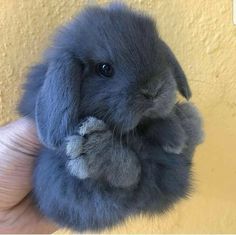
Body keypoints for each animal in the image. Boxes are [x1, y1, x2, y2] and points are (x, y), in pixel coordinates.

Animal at [18, 2, 204, 232]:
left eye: (158, 52)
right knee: (129, 176)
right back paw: (96, 152)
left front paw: (175, 137)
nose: (153, 90)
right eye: (104, 68)